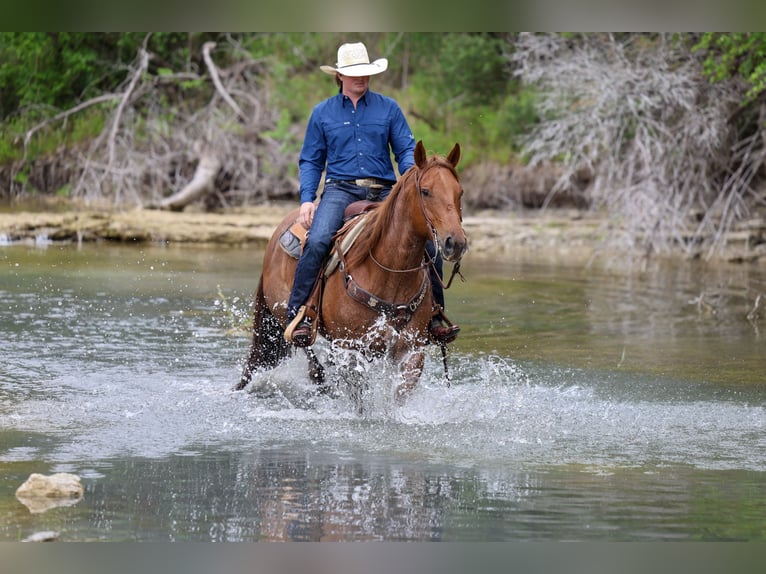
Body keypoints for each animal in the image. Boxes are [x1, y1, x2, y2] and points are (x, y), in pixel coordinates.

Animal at [236, 141, 467, 404]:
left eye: (459, 192)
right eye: (426, 191)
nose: (455, 243)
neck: (390, 274)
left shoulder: (411, 351)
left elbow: (399, 397)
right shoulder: (351, 349)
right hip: (285, 312)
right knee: (310, 357)